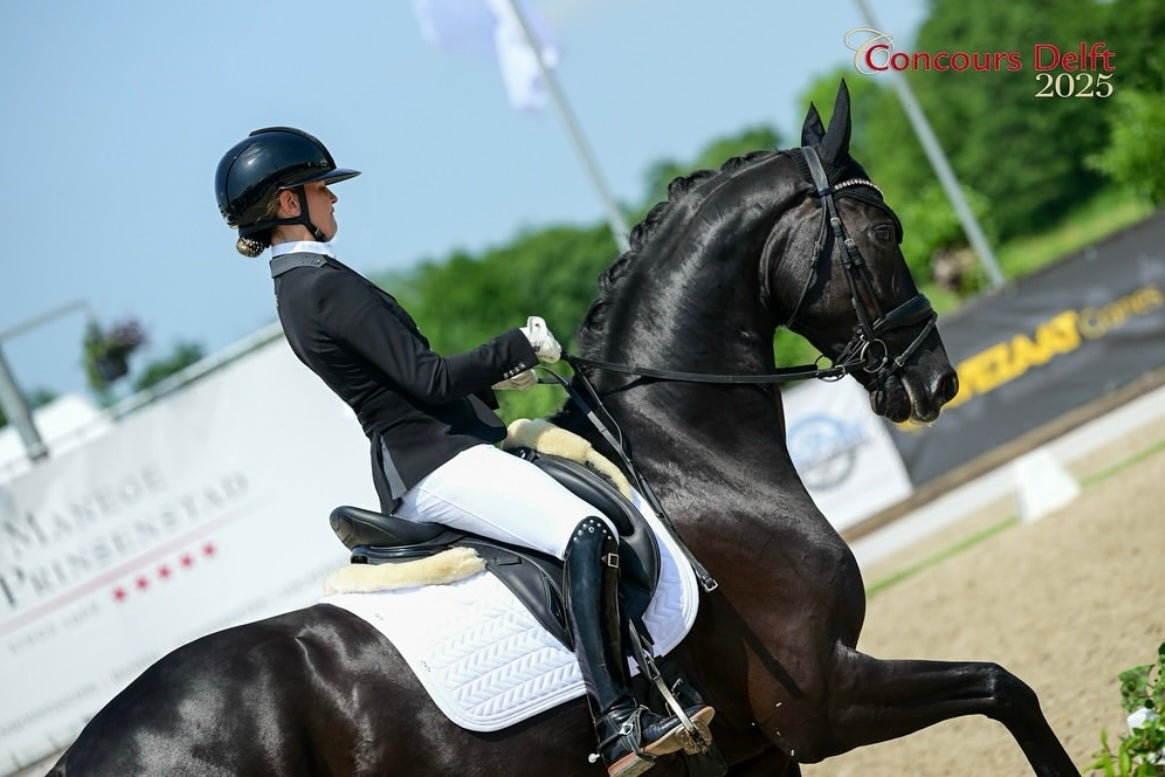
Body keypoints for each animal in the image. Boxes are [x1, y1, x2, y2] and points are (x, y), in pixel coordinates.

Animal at [48, 82, 1077, 776]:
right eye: (885, 231)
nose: (936, 380)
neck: (690, 461)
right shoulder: (821, 698)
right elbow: (1005, 685)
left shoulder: (758, 747)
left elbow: (1000, 686)